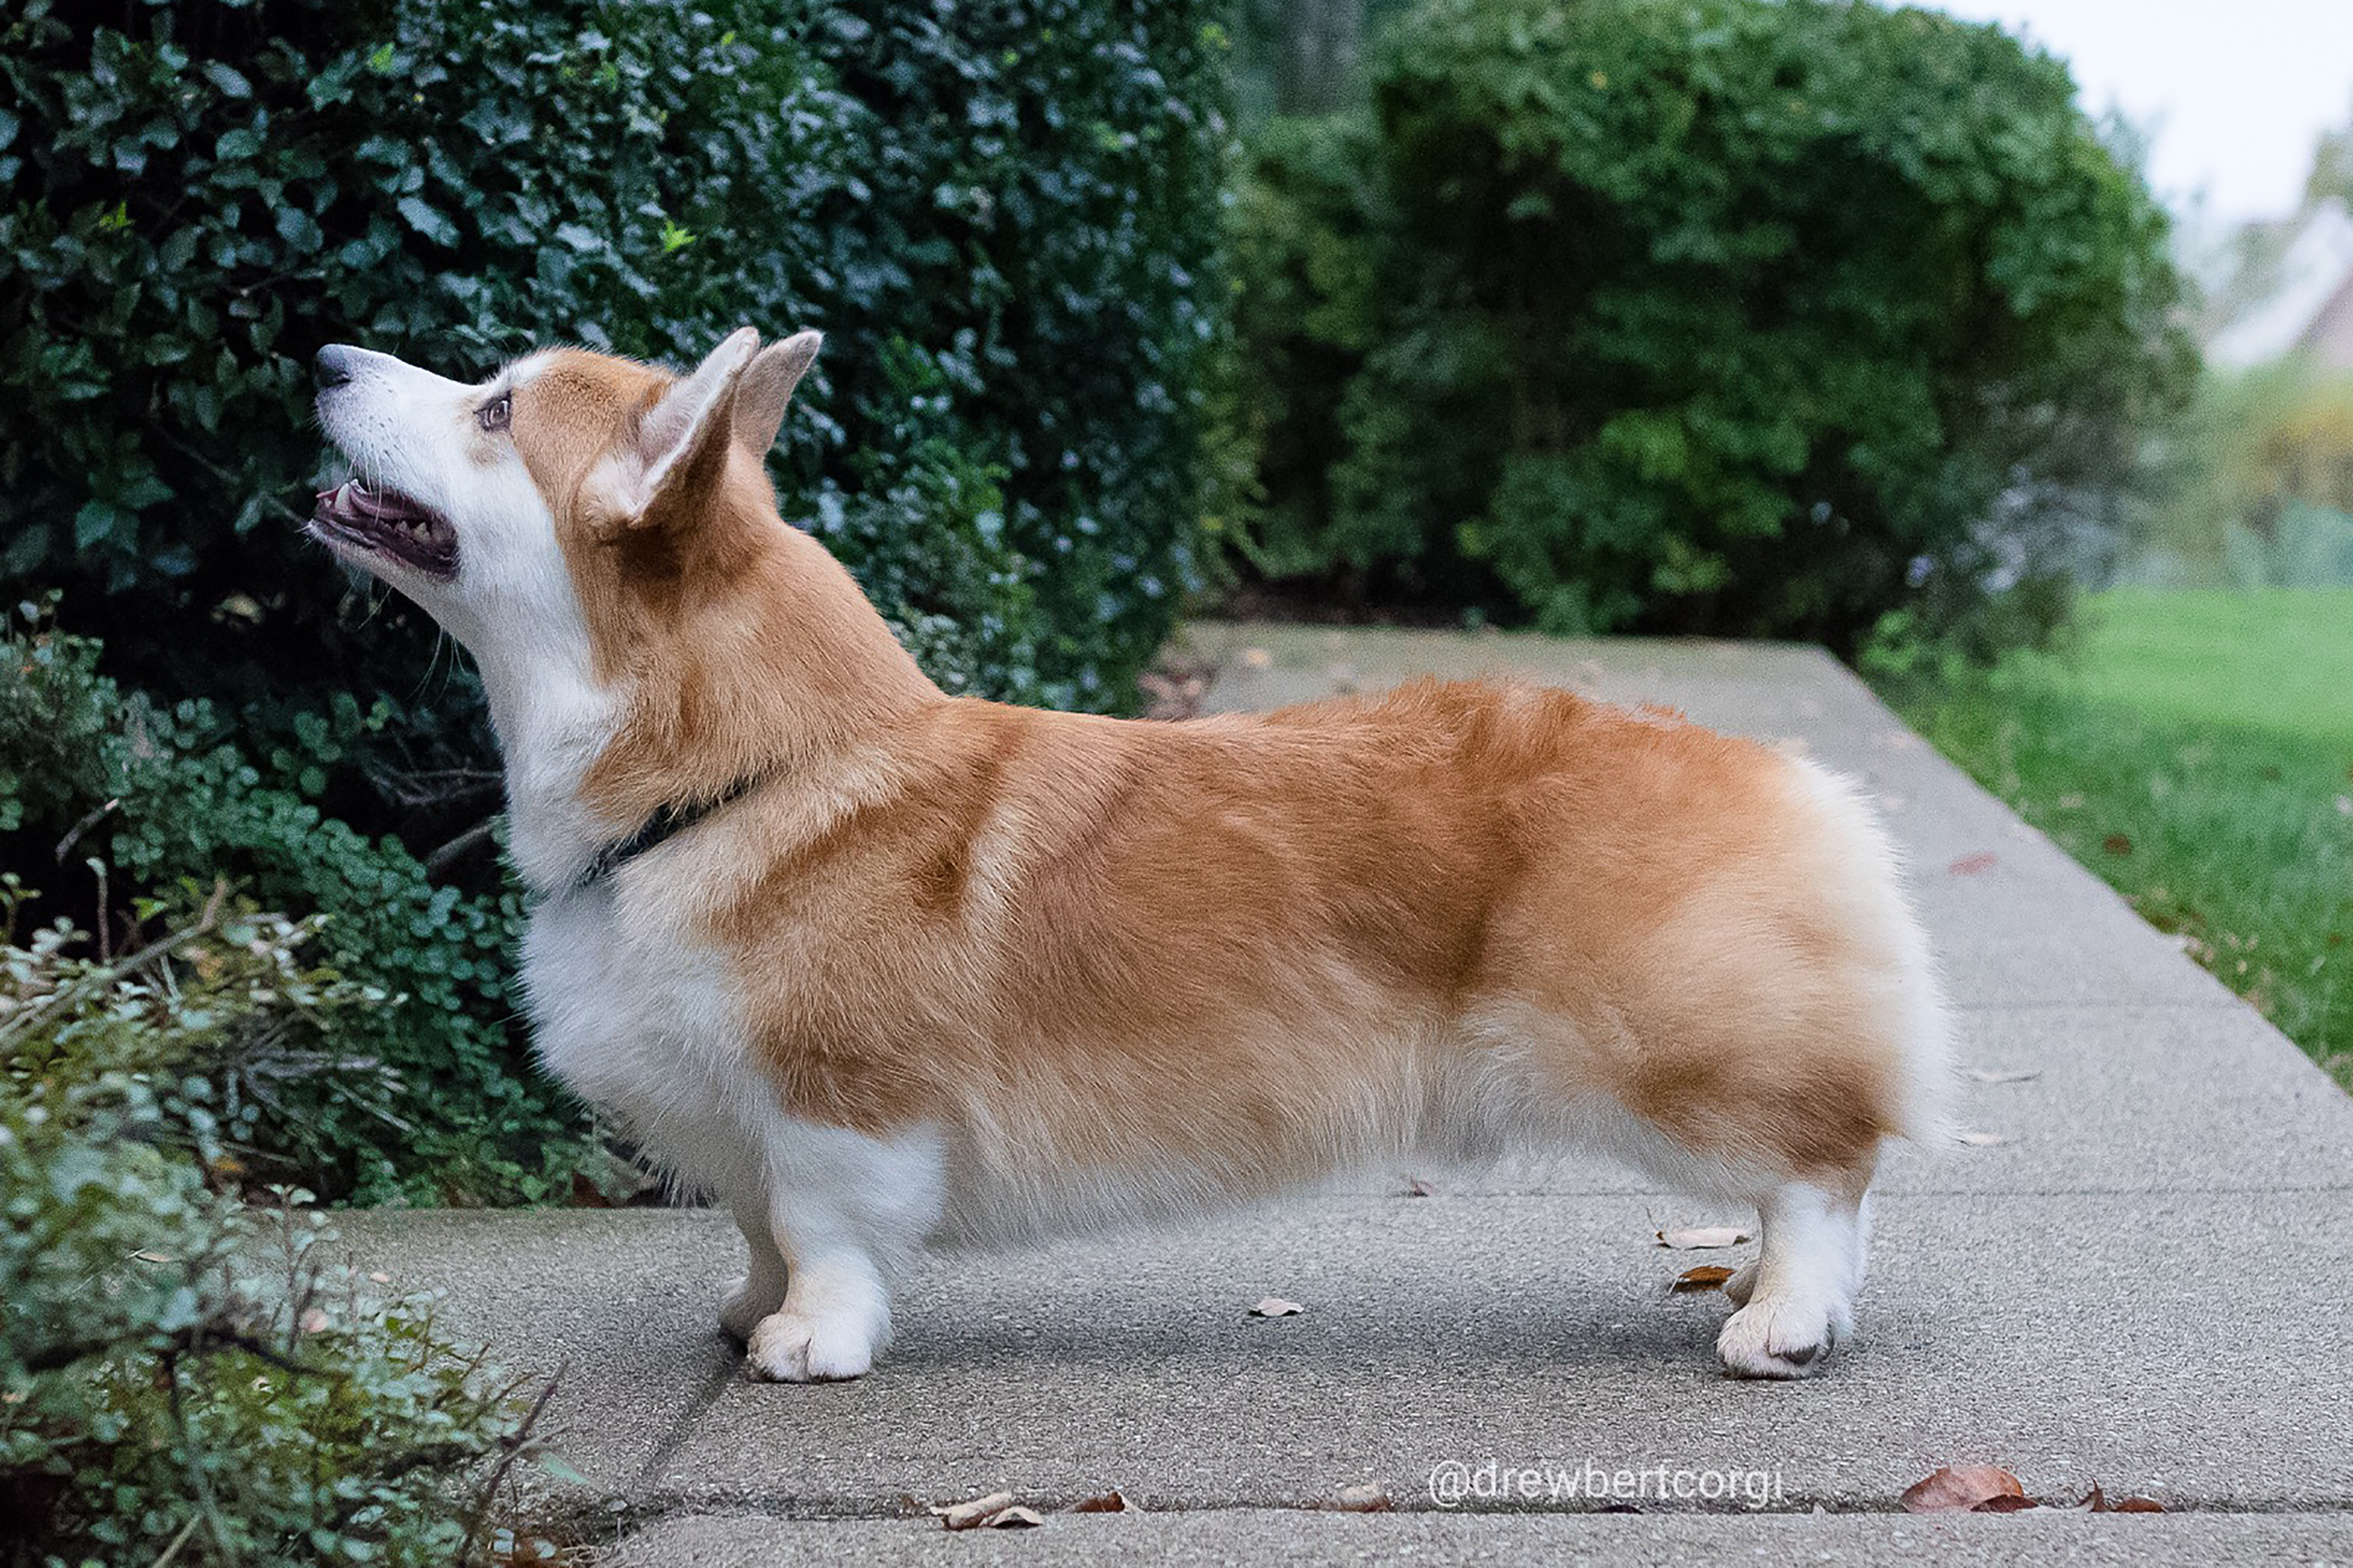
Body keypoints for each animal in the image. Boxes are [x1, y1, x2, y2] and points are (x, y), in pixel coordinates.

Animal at [317, 322, 1948, 1374]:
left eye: (495, 410)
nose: (323, 359)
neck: (734, 779)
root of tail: (1783, 769)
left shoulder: (840, 1101)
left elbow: (825, 1232)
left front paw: (802, 1343)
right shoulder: (740, 1131)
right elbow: (757, 1224)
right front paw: (742, 1313)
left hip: (1657, 1052)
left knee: (1826, 1164)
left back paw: (1784, 1315)